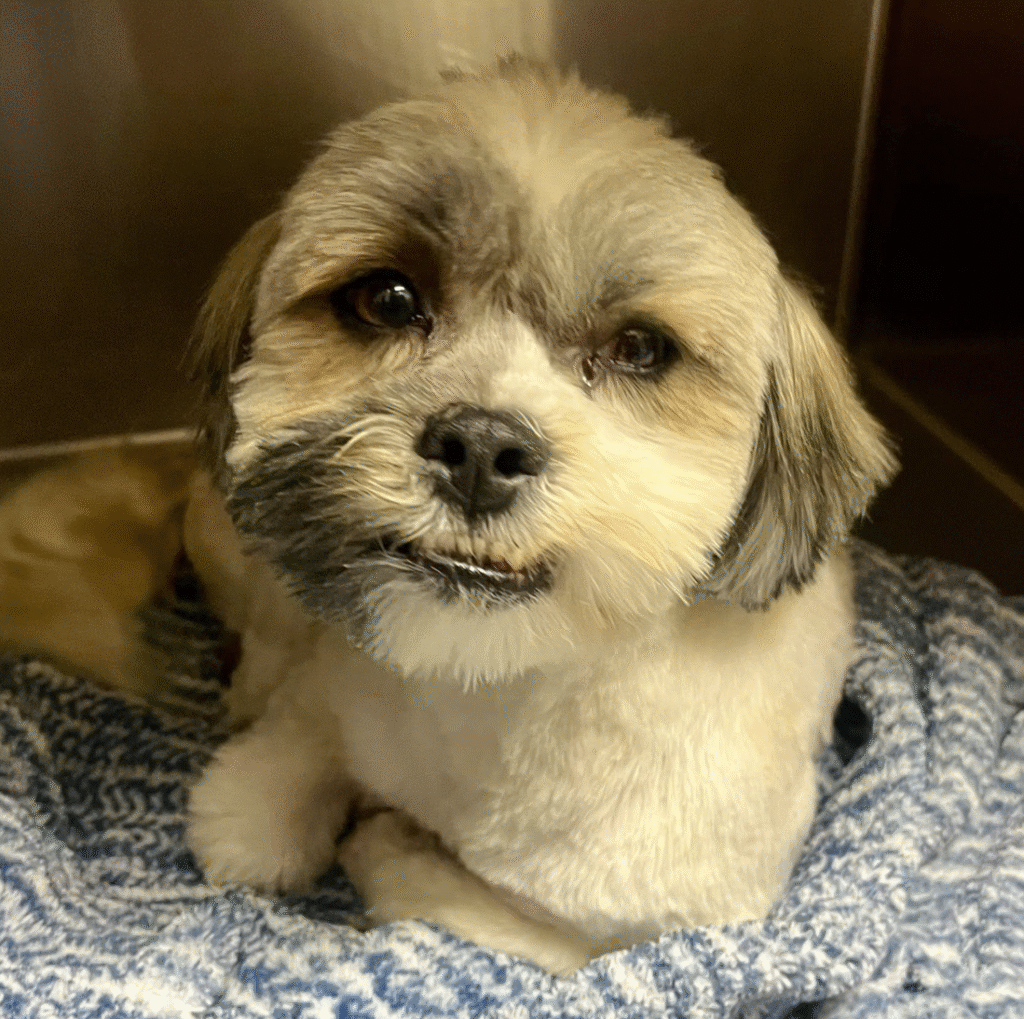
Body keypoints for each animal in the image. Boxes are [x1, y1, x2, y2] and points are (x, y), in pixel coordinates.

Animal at [11, 59, 893, 975]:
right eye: (388, 299)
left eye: (641, 349)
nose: (480, 444)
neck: (491, 683)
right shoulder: (340, 680)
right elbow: (270, 801)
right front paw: (267, 797)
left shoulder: (652, 936)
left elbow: (471, 905)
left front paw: (390, 843)